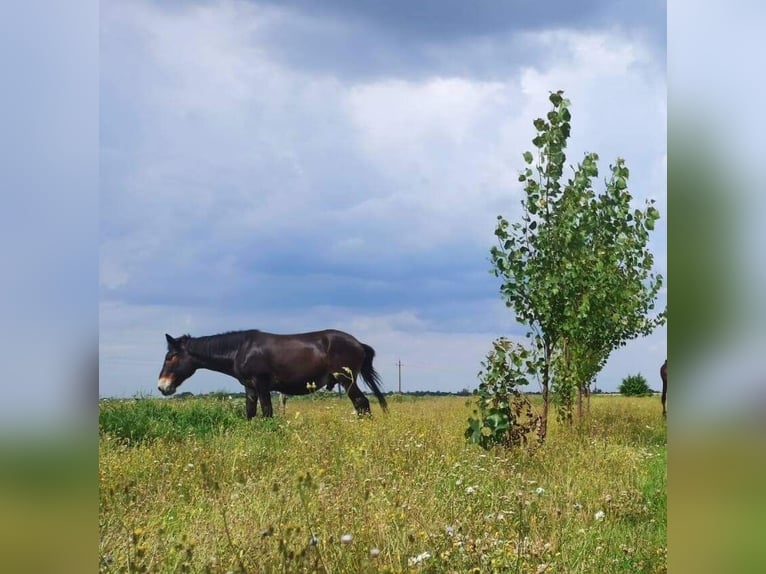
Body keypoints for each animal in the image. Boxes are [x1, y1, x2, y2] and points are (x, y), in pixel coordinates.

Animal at [156, 330, 388, 420]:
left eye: (171, 357)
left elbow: (267, 412)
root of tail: (358, 343)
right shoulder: (249, 387)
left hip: (346, 379)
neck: (240, 350)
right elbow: (250, 413)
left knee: (362, 403)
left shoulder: (261, 384)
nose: (162, 386)